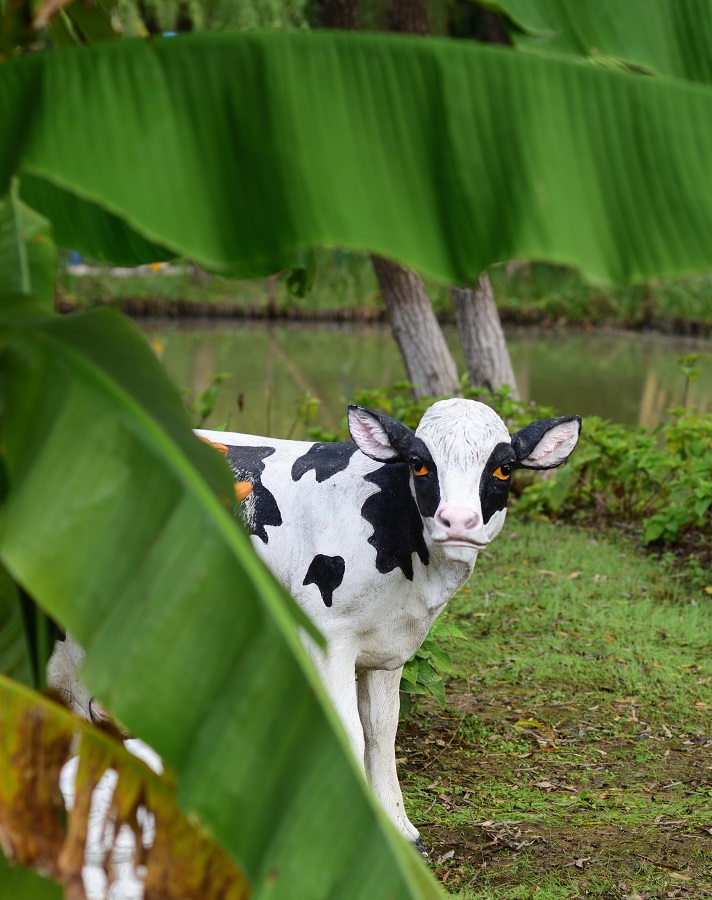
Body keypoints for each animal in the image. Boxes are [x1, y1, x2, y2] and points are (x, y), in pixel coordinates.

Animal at [193, 400, 580, 852]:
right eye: (419, 463)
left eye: (503, 468)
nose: (458, 520)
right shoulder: (326, 638)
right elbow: (348, 732)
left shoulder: (388, 650)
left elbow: (381, 733)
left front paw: (399, 830)